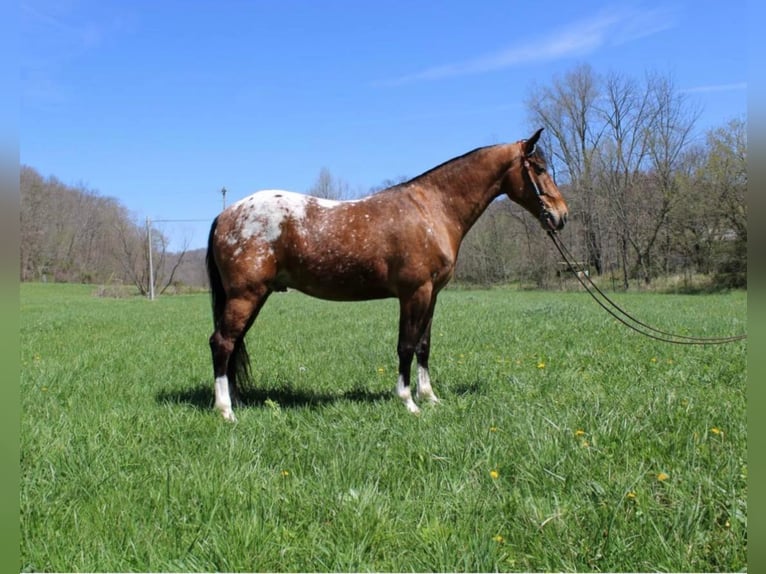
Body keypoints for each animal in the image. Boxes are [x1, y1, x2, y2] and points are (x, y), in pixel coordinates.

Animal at [207, 128, 568, 420]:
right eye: (538, 168)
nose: (561, 215)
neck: (432, 208)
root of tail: (226, 214)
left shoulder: (432, 295)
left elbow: (423, 345)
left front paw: (430, 397)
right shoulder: (414, 292)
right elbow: (405, 345)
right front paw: (408, 401)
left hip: (256, 295)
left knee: (233, 343)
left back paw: (236, 402)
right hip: (246, 294)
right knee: (222, 342)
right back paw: (226, 411)